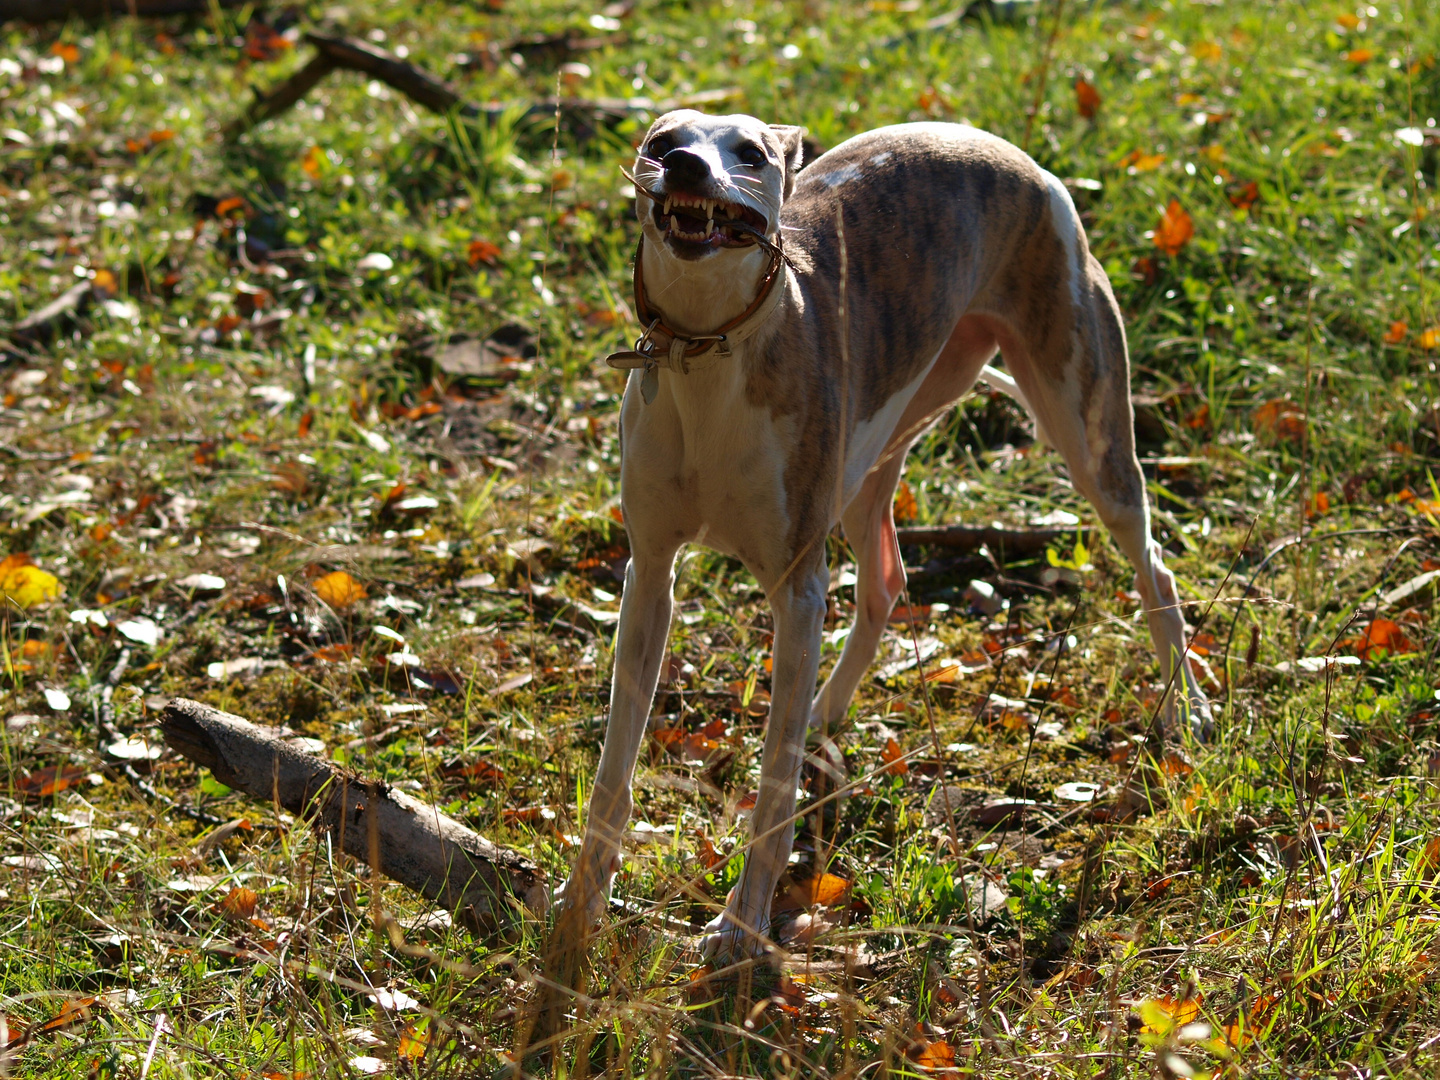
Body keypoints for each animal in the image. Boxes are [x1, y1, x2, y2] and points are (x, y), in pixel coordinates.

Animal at [555, 110, 1209, 961]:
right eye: (664, 143)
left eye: (750, 155)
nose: (690, 169)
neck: (708, 355)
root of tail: (1017, 157)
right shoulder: (651, 575)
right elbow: (615, 766)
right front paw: (580, 906)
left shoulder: (796, 587)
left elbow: (773, 783)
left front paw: (741, 925)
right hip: (876, 453)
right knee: (886, 581)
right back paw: (824, 711)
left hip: (1087, 428)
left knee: (1152, 563)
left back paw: (1186, 709)